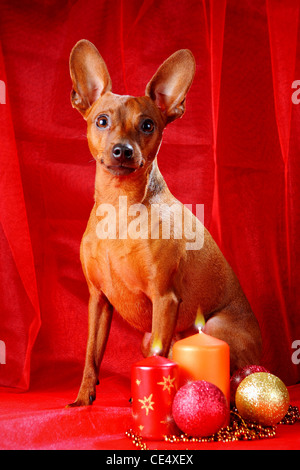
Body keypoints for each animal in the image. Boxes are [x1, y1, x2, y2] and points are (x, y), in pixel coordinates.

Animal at [68, 41, 260, 408]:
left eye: (147, 125)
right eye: (102, 121)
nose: (123, 151)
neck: (120, 207)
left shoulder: (164, 299)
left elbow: (159, 357)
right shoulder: (98, 301)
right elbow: (90, 356)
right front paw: (84, 398)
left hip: (211, 328)